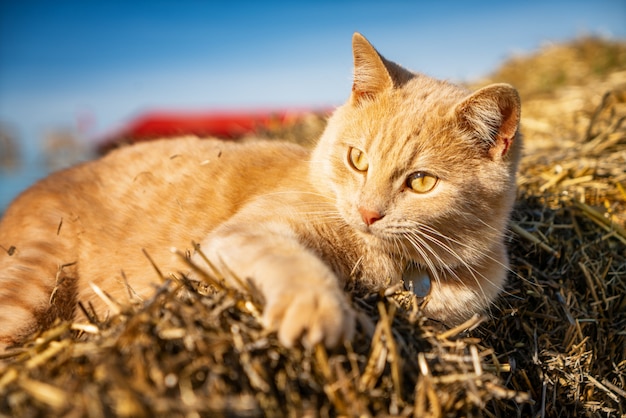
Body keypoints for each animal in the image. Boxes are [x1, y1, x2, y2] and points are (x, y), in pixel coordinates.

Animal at [0, 34, 520, 352]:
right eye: (357, 159)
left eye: (421, 182)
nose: (367, 212)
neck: (401, 269)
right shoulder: (241, 236)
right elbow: (294, 260)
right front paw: (319, 311)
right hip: (33, 282)